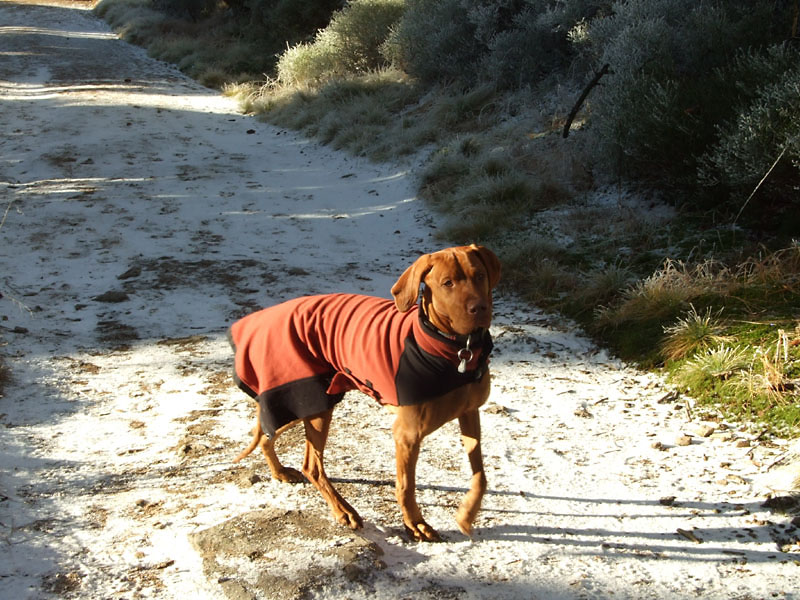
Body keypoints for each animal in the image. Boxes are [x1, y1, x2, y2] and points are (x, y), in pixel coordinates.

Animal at [228, 243, 500, 540]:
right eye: (447, 283)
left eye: (479, 276)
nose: (480, 308)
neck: (455, 349)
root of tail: (264, 317)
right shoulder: (407, 434)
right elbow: (406, 486)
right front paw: (415, 523)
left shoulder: (470, 413)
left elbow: (481, 476)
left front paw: (466, 515)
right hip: (309, 400)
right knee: (311, 466)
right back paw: (344, 511)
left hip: (305, 405)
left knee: (266, 434)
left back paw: (279, 472)